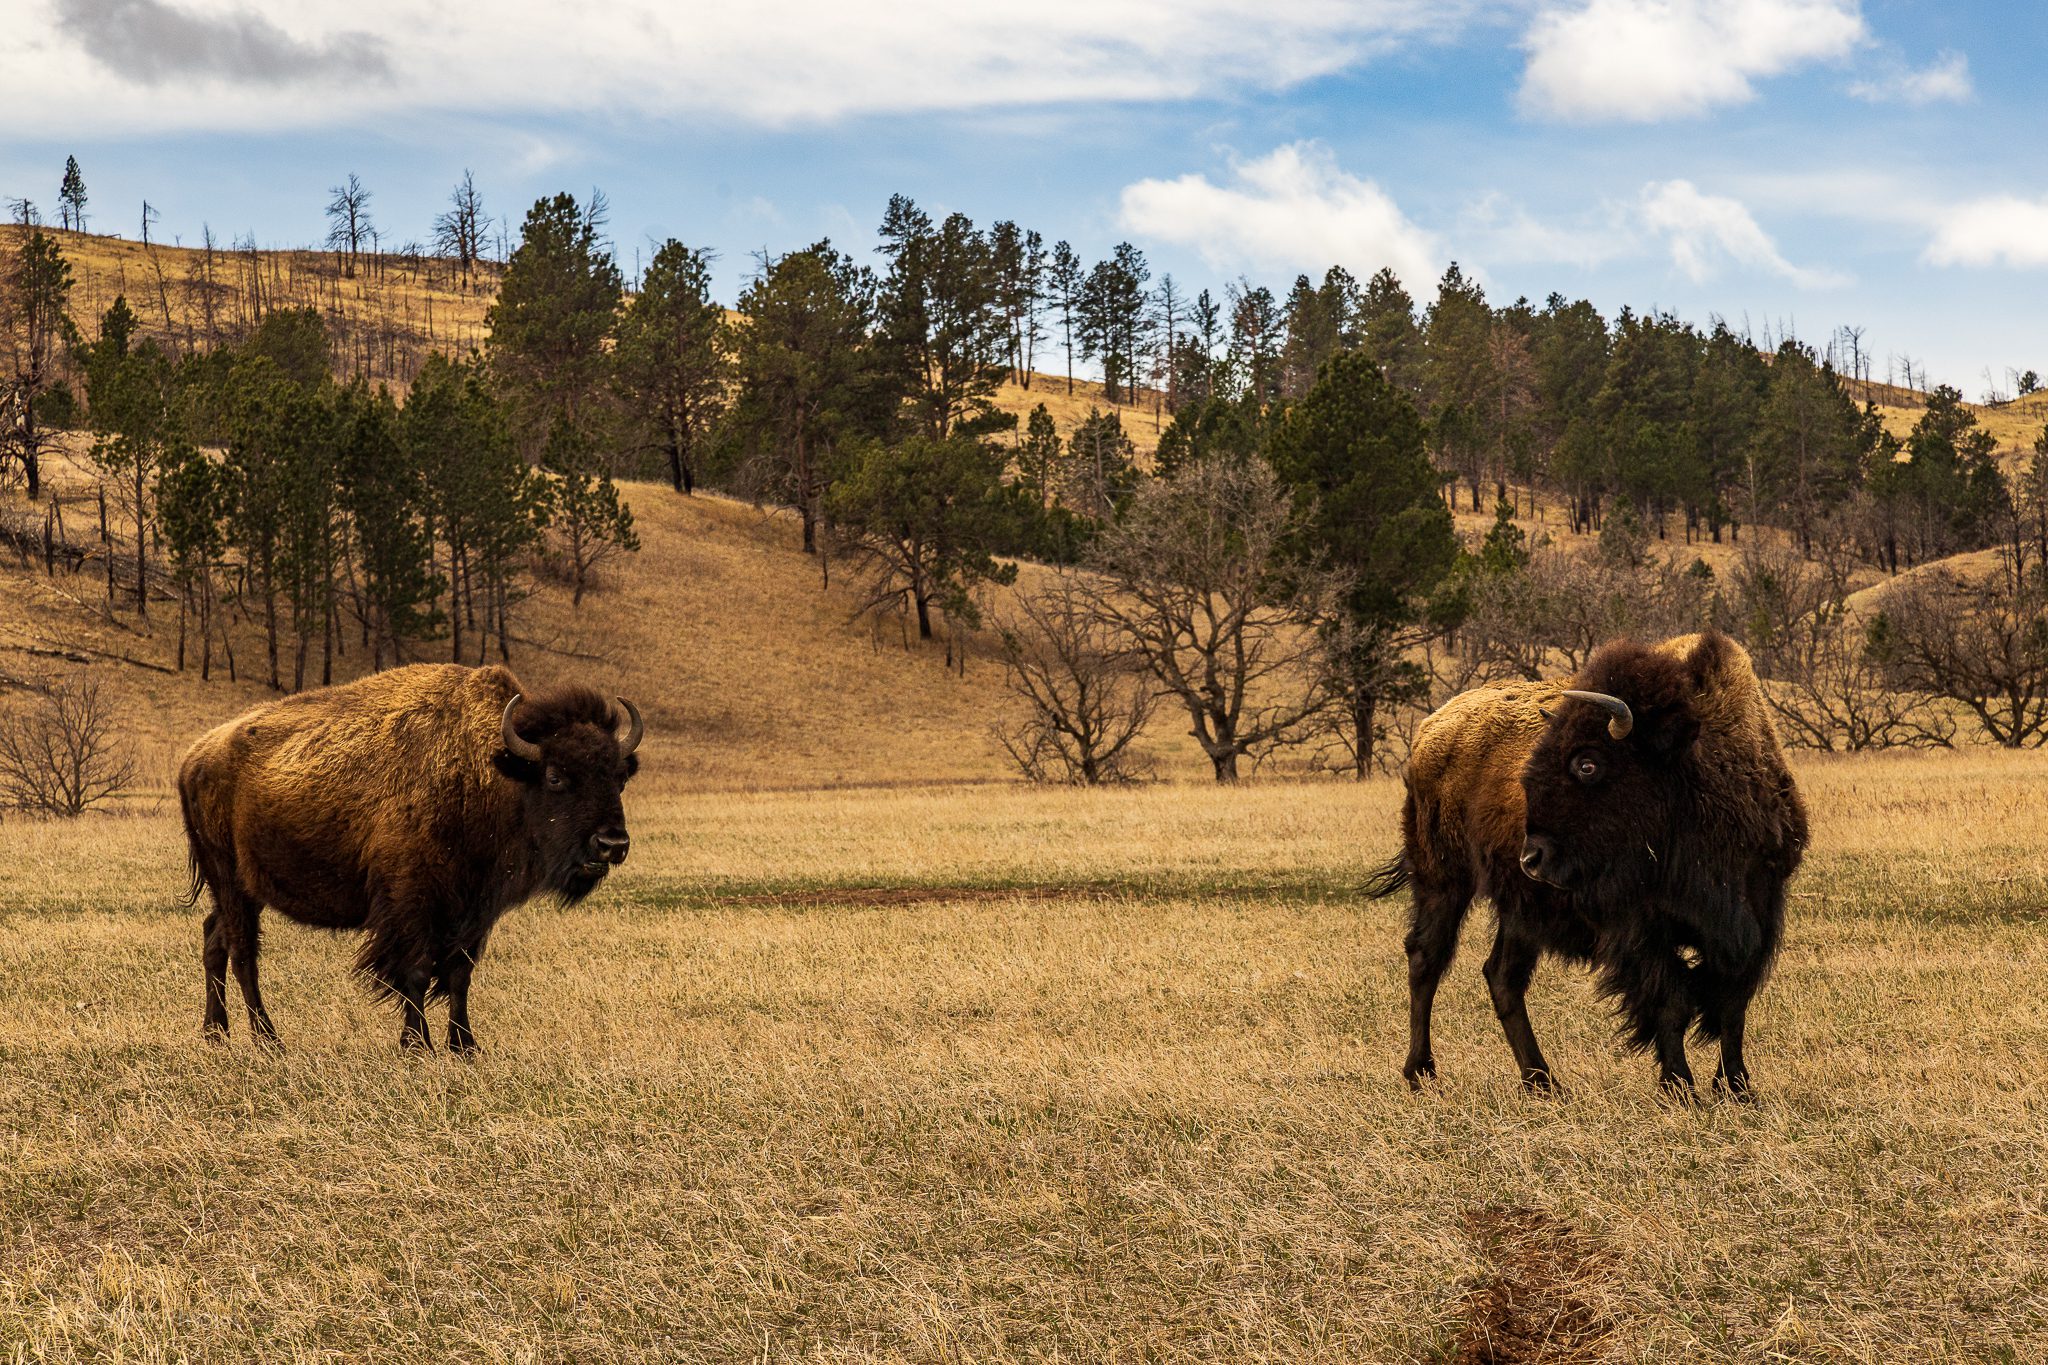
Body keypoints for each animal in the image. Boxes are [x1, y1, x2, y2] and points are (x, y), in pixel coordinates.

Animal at [178, 663, 642, 1052]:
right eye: (555, 776)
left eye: (619, 777)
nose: (612, 844)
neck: (491, 771)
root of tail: (193, 759)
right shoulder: (412, 903)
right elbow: (415, 971)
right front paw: (417, 1046)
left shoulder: (473, 909)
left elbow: (459, 974)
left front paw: (464, 1046)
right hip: (229, 880)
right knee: (243, 953)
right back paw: (268, 1040)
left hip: (243, 890)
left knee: (214, 939)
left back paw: (216, 1034)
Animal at [1367, 631, 1807, 1097]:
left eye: (1587, 763)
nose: (1532, 857)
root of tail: (1430, 730)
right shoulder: (1638, 928)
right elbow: (1672, 1002)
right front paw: (1679, 1087)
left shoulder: (1757, 913)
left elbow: (1731, 1005)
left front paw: (1736, 1088)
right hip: (1443, 880)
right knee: (1426, 959)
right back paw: (1421, 1071)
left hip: (1519, 909)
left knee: (1502, 976)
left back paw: (1541, 1081)